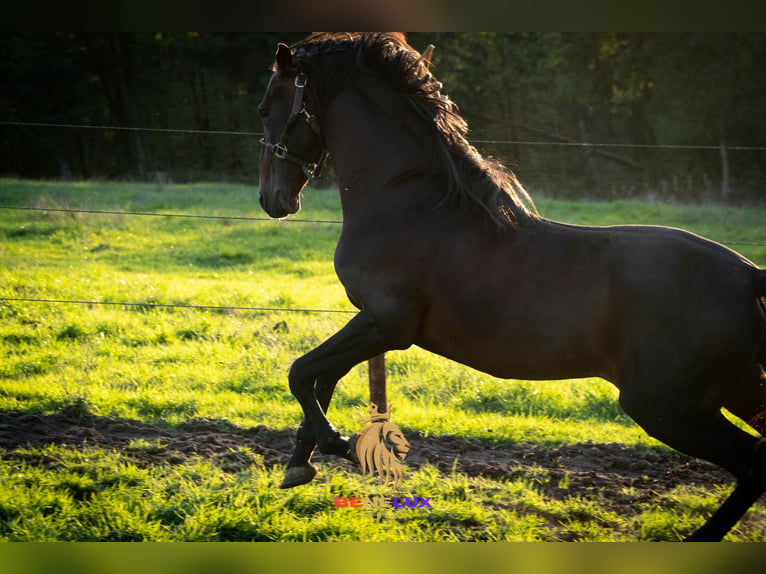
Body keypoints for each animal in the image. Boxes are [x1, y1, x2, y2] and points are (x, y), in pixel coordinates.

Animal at [260, 33, 766, 544]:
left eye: (265, 108)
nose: (272, 200)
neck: (411, 205)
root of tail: (748, 273)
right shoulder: (372, 325)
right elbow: (321, 379)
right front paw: (299, 465)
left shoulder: (386, 325)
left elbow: (301, 372)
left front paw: (340, 445)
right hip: (729, 393)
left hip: (667, 407)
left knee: (754, 462)